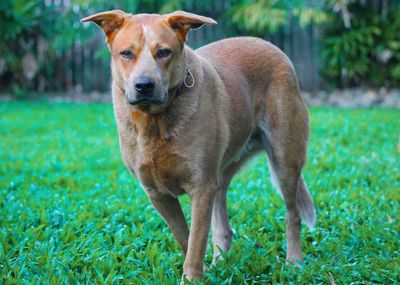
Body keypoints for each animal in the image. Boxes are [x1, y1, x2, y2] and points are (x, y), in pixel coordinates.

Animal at [83, 9, 318, 282]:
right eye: (126, 53)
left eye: (164, 52)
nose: (144, 85)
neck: (155, 122)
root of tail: (271, 46)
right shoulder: (158, 193)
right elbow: (186, 238)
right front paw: (201, 271)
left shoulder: (202, 186)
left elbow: (196, 241)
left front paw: (192, 277)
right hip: (223, 171)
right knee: (223, 226)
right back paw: (220, 262)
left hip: (285, 159)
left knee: (293, 214)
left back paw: (294, 260)